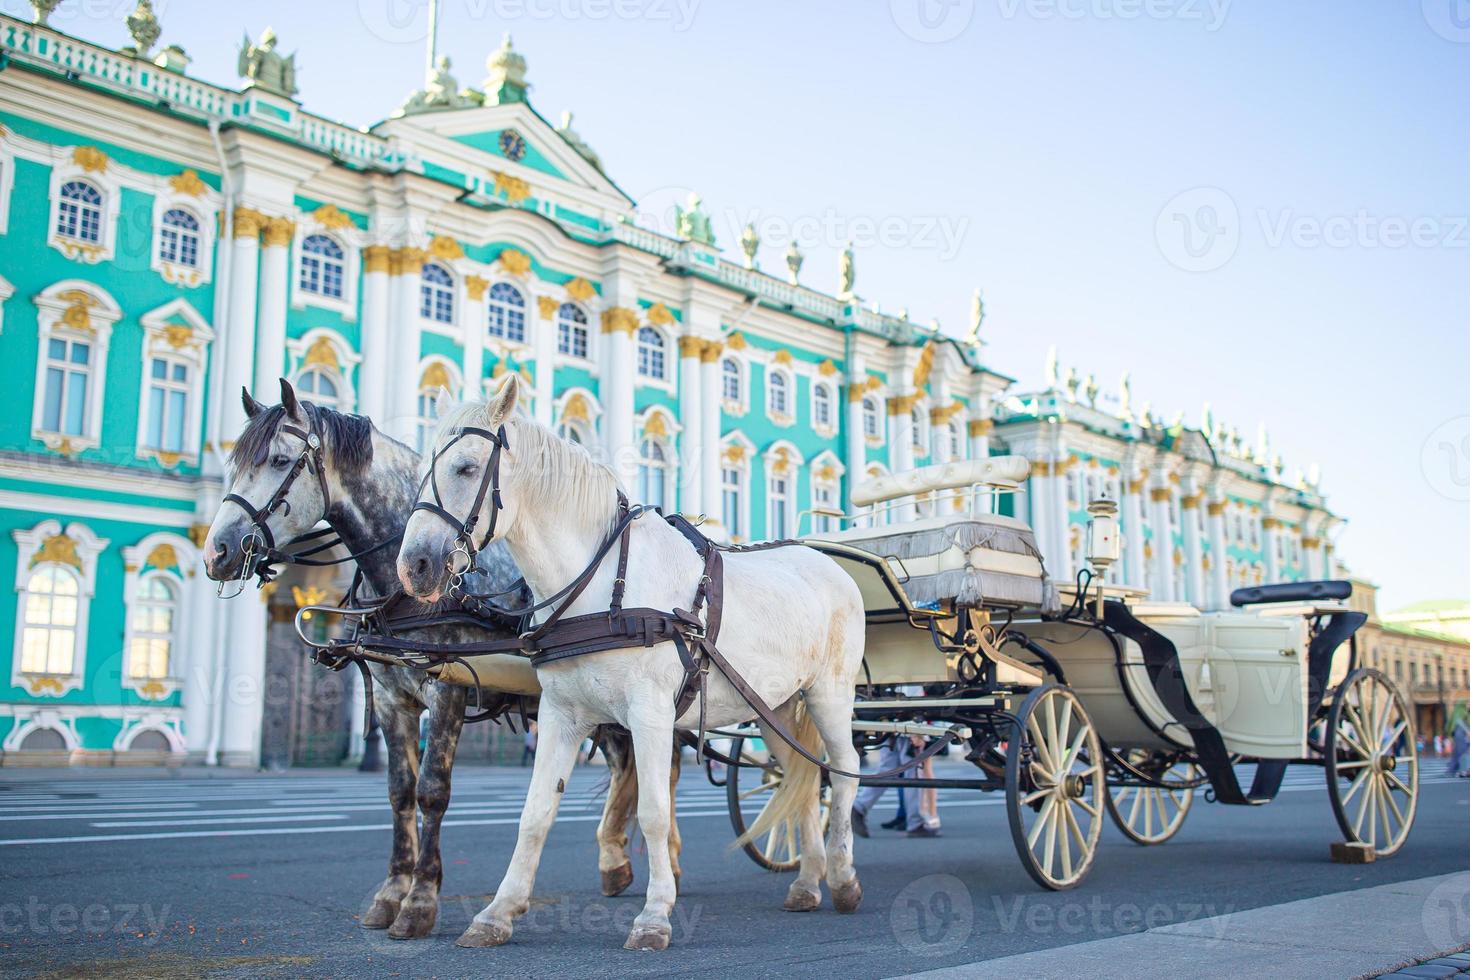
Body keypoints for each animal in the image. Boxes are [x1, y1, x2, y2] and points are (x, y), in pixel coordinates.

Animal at [201, 382, 676, 940]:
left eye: (278, 460)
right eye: (234, 465)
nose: (217, 552)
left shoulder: (447, 689)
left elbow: (432, 791)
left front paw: (420, 902)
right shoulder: (392, 700)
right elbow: (399, 791)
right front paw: (390, 893)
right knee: (634, 766)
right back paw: (623, 863)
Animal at [396, 379, 864, 952]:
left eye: (465, 467)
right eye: (424, 467)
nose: (413, 566)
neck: (601, 585)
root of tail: (828, 562)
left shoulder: (650, 714)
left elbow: (655, 813)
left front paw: (655, 915)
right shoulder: (561, 715)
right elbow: (535, 813)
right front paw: (497, 913)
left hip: (830, 696)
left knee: (843, 772)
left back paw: (842, 877)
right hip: (773, 709)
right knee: (800, 777)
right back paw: (806, 883)